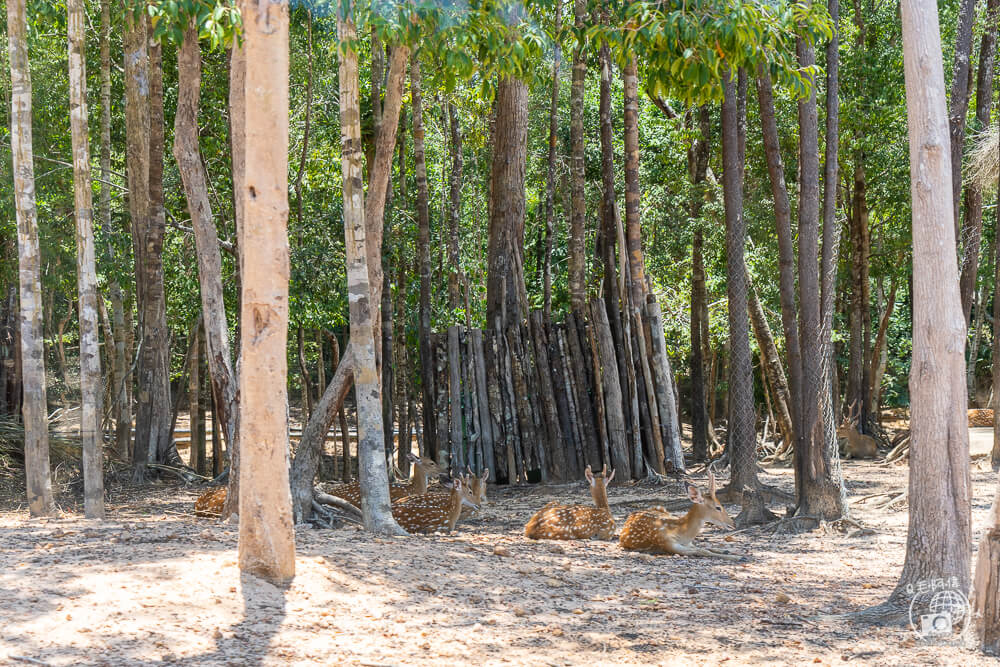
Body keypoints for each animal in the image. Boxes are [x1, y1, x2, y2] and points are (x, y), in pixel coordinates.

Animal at [612, 472, 740, 560]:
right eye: (718, 507)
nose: (733, 523)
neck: (682, 533)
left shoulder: (688, 543)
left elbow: (704, 547)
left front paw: (729, 552)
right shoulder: (668, 544)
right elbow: (701, 550)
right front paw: (737, 557)